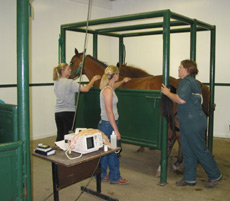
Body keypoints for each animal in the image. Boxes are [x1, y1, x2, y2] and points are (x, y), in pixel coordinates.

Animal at [69, 48, 211, 176]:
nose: (68, 75)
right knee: (181, 137)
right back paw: (178, 163)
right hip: (177, 118)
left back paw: (162, 168)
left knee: (172, 139)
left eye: (72, 62)